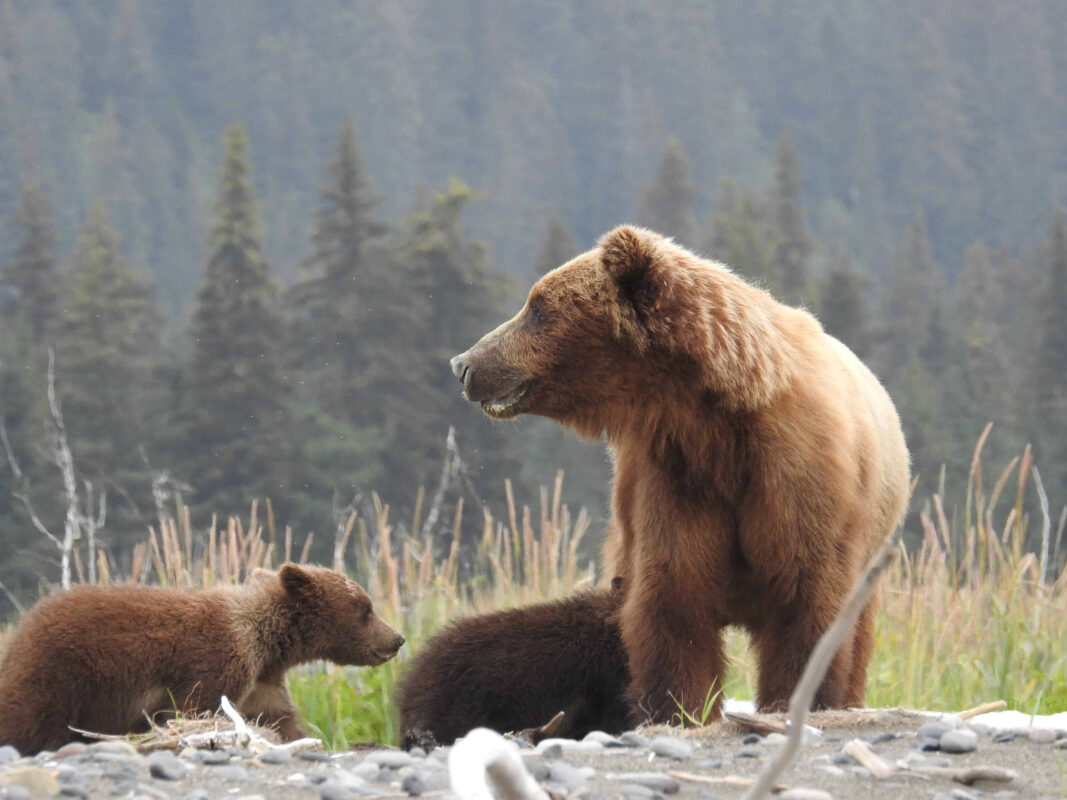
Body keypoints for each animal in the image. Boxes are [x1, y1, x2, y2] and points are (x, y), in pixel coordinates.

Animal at [0, 564, 404, 754]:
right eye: (365, 608)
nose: (398, 638)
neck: (268, 642)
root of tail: (24, 622)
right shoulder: (218, 661)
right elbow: (196, 707)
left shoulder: (263, 680)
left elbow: (278, 718)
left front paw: (301, 739)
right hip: (59, 669)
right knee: (26, 714)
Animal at [449, 225, 910, 724]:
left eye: (537, 308)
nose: (463, 364)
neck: (713, 420)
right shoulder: (677, 478)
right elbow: (676, 593)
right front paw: (680, 705)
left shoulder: (798, 472)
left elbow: (806, 596)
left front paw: (796, 697)